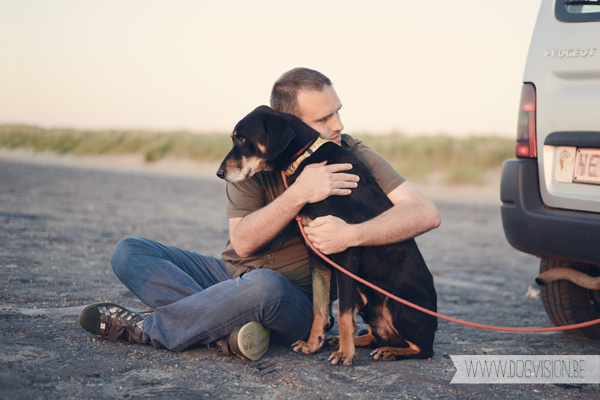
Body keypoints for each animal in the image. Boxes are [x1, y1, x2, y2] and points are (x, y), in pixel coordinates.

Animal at [216, 105, 436, 366]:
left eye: (241, 139)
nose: (219, 173)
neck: (304, 157)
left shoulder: (346, 252)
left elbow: (342, 315)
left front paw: (345, 354)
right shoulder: (316, 254)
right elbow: (319, 308)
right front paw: (313, 344)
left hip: (395, 300)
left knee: (423, 349)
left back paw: (388, 351)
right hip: (365, 296)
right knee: (378, 334)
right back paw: (358, 342)